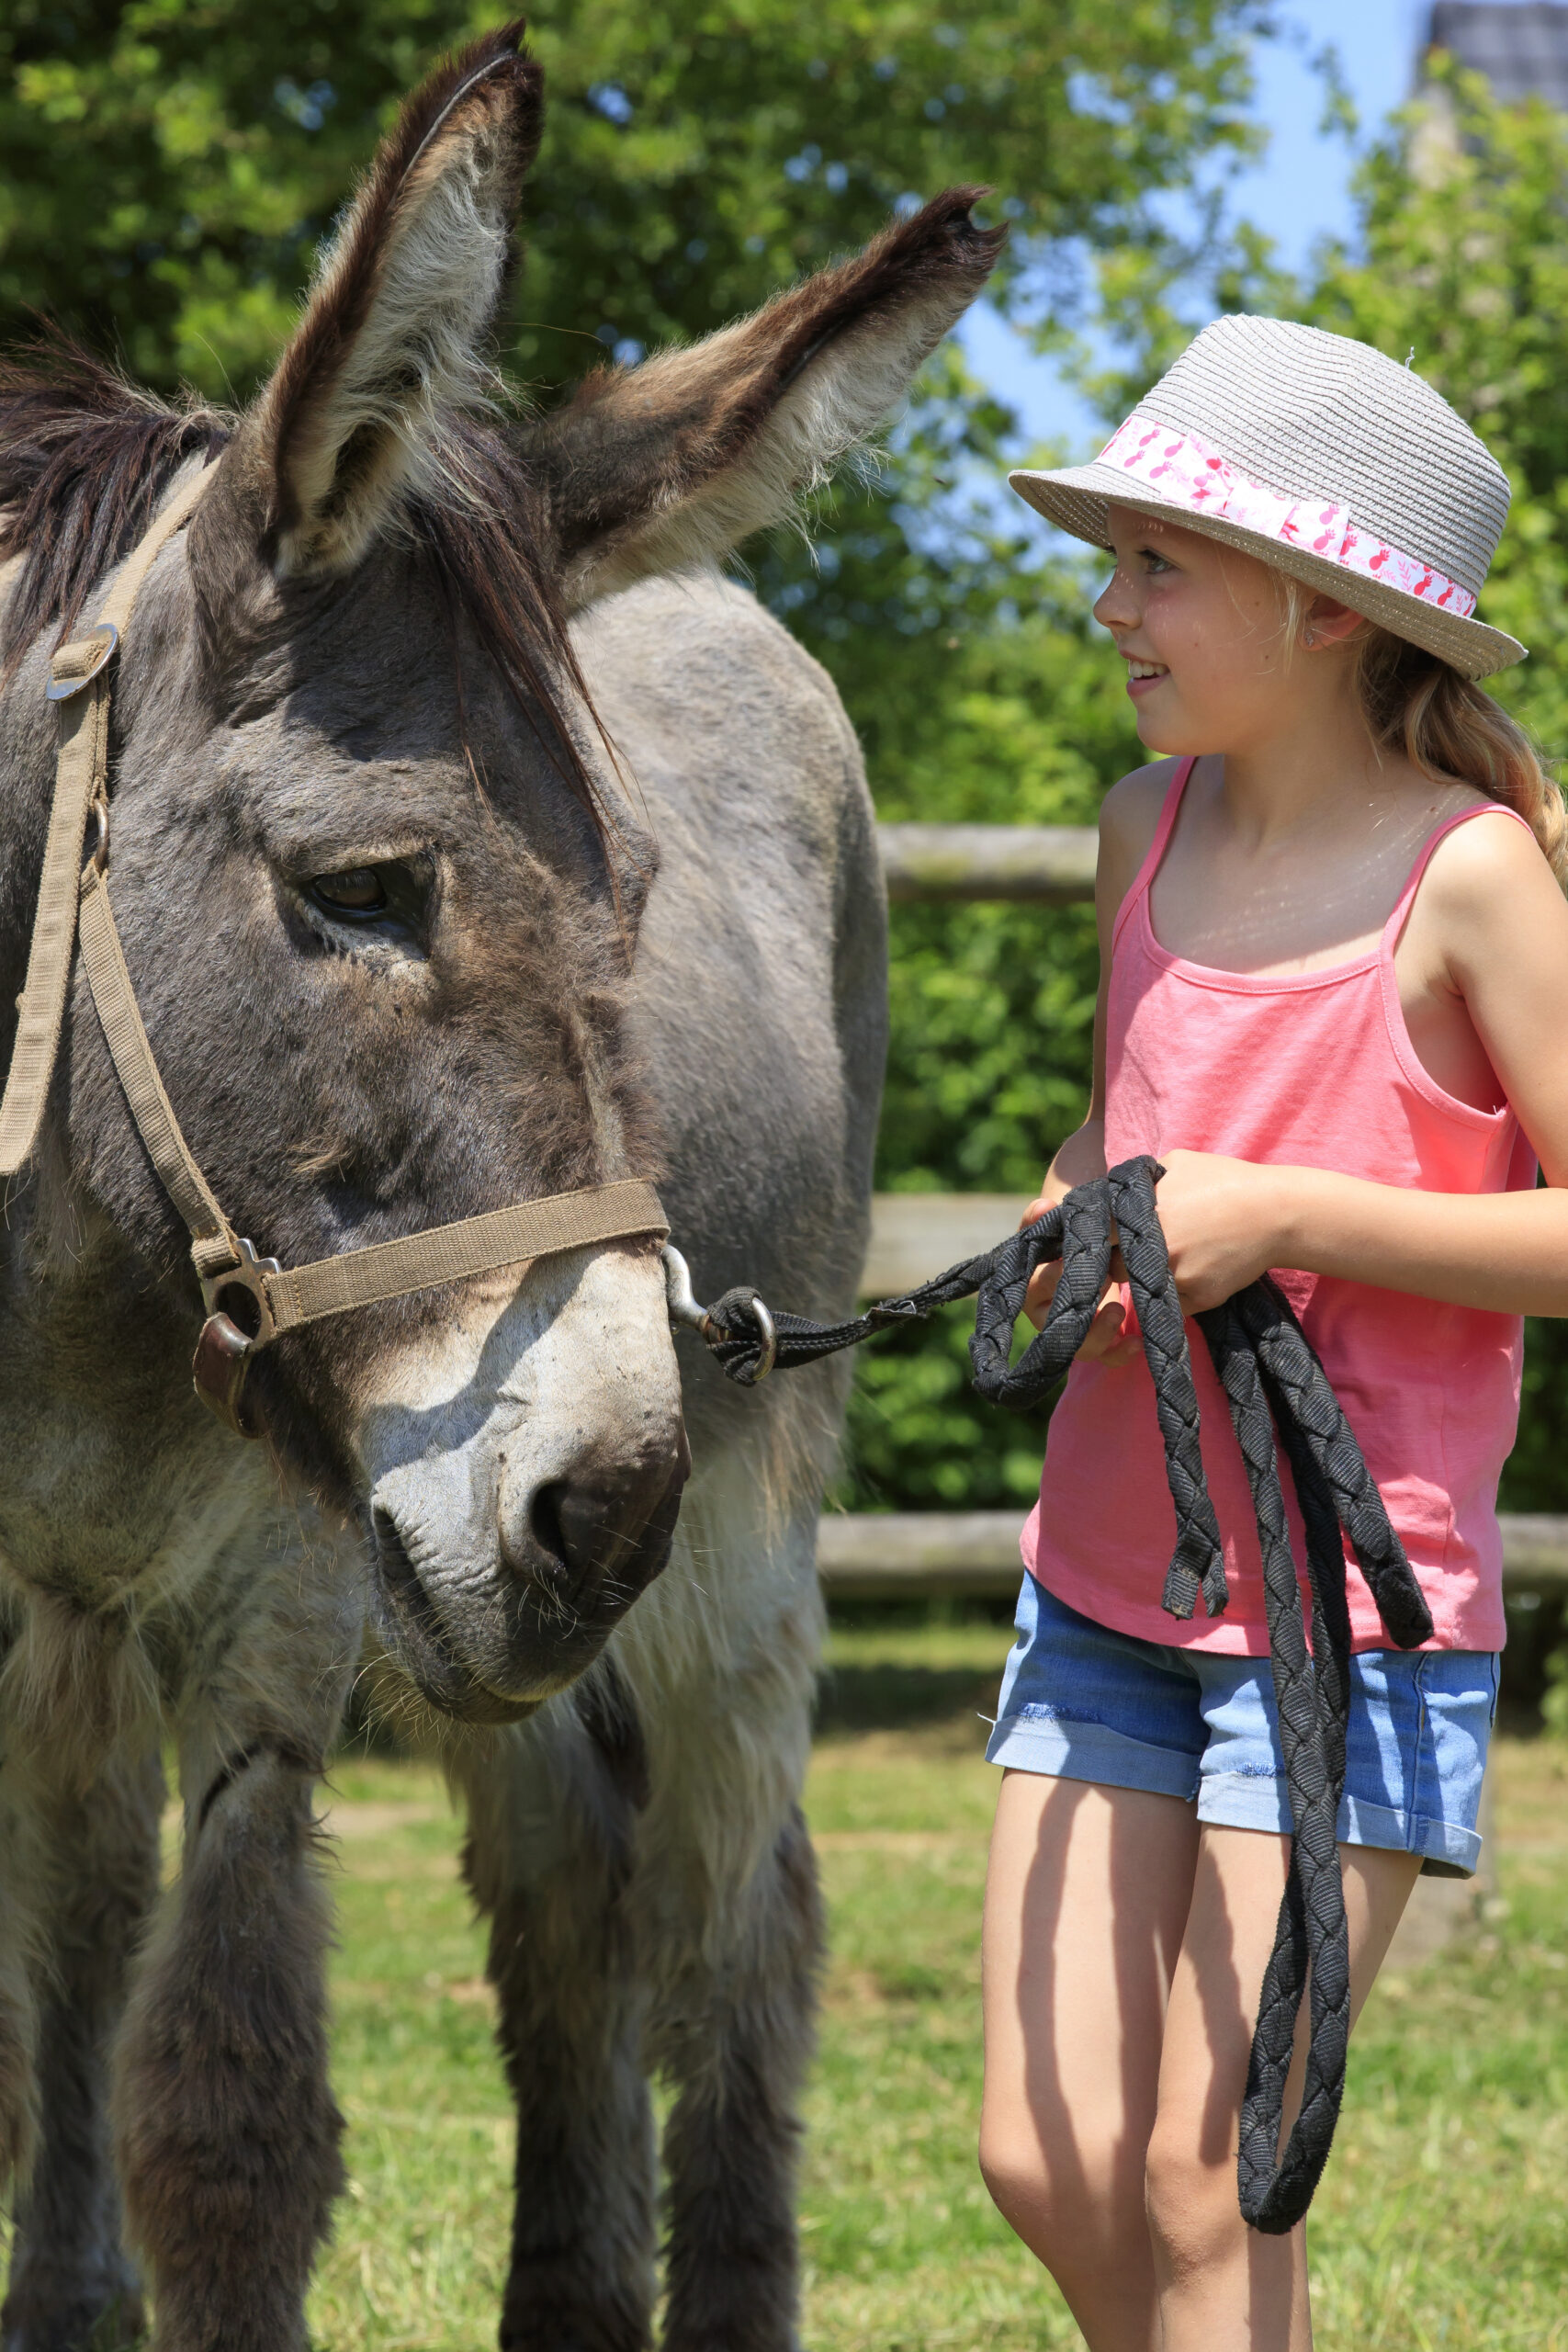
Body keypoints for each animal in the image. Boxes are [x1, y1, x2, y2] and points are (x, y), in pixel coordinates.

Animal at [0, 24, 1000, 2351]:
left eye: (629, 908)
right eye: (359, 889)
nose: (601, 1500)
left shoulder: (279, 1592)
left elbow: (226, 2121)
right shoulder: (60, 1595)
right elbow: (59, 2005)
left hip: (726, 1534)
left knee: (738, 1906)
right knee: (566, 1883)